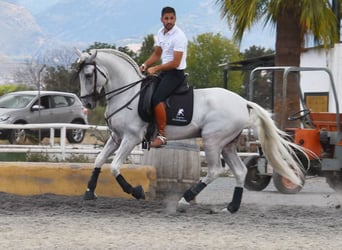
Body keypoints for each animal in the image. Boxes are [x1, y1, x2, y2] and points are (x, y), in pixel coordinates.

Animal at [76, 48, 306, 213]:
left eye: (88, 75)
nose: (87, 103)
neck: (128, 94)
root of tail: (243, 102)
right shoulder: (116, 138)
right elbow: (99, 160)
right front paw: (89, 192)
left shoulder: (131, 138)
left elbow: (115, 167)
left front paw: (137, 192)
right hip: (227, 145)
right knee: (240, 171)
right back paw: (231, 207)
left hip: (212, 140)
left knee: (214, 171)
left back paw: (184, 200)